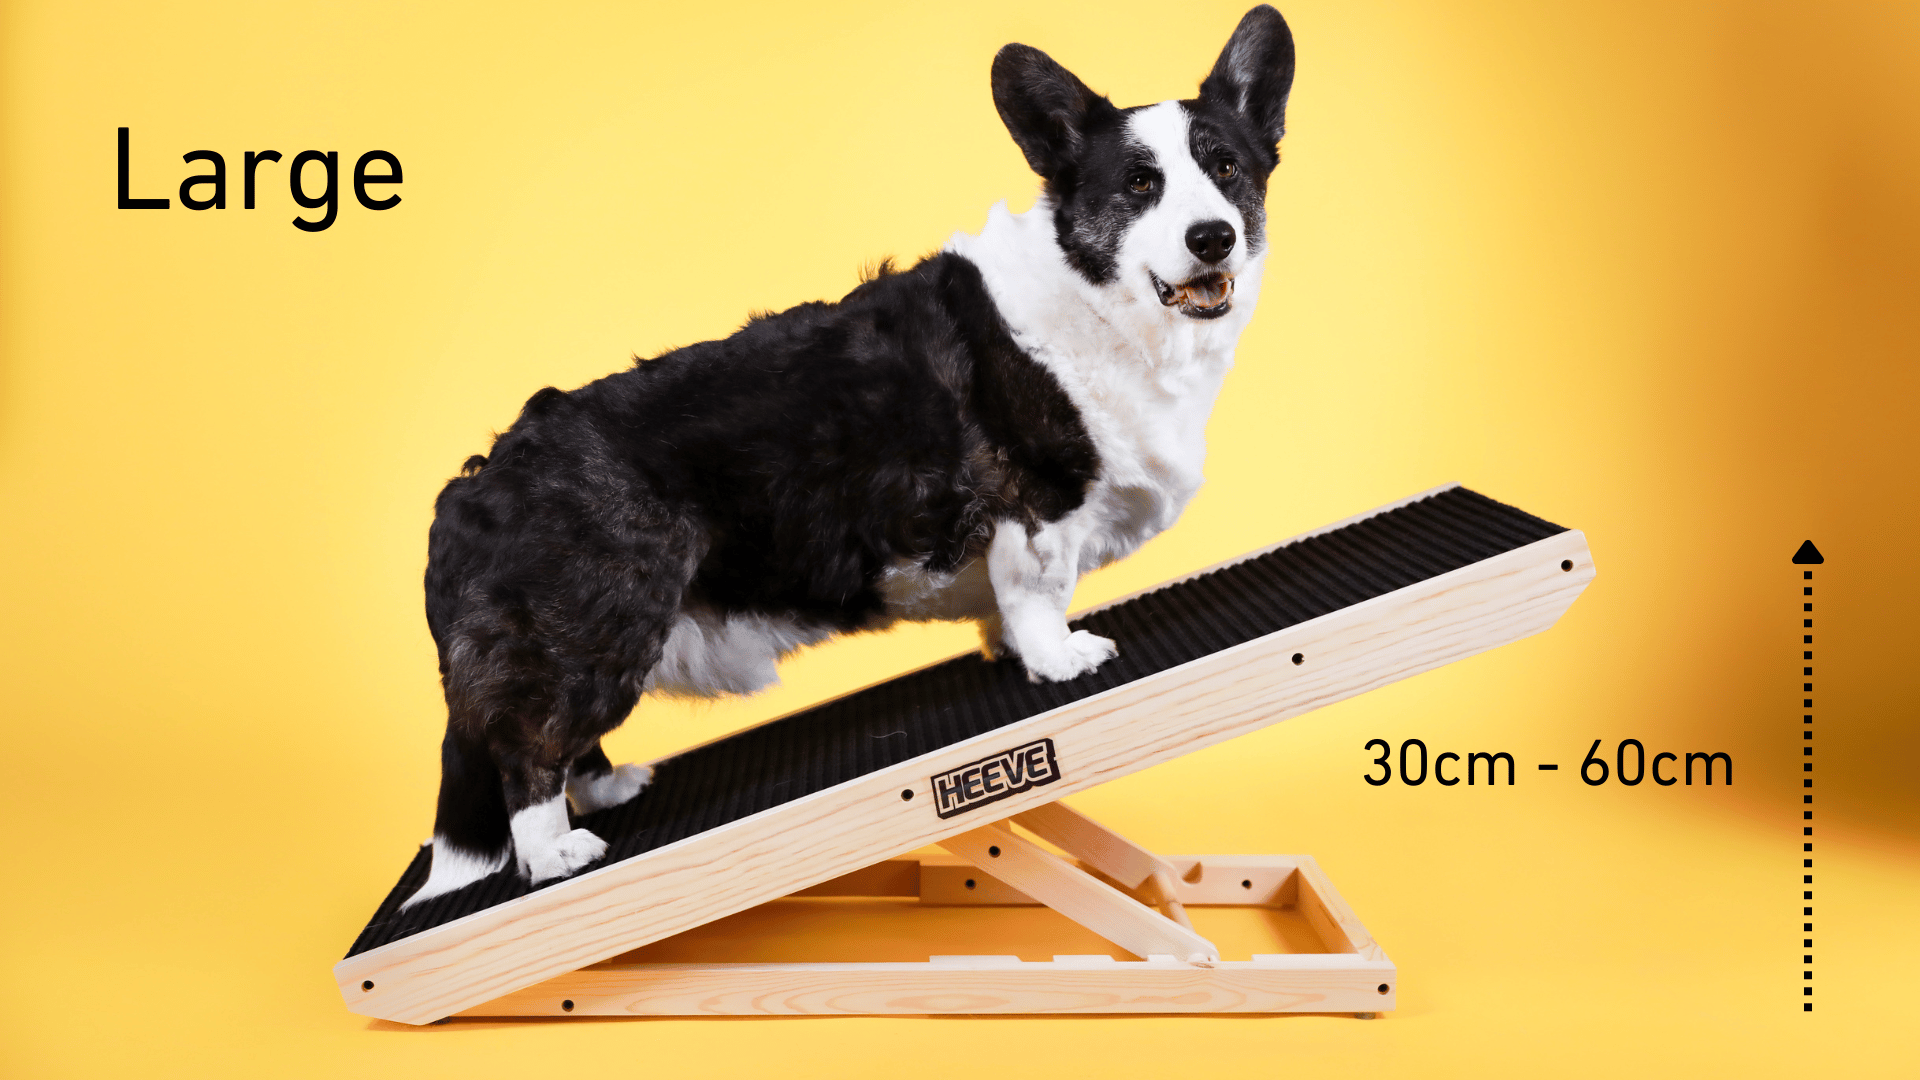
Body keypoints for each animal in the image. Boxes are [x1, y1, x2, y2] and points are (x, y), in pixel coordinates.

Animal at [407, 6, 1305, 899]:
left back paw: (609, 788)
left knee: (566, 738)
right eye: (1139, 185)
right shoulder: (1034, 505)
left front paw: (1016, 653)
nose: (1213, 238)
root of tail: (468, 492)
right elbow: (1037, 595)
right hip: (601, 621)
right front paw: (1058, 660)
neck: (1104, 303)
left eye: (1227, 167)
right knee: (530, 746)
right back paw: (556, 850)